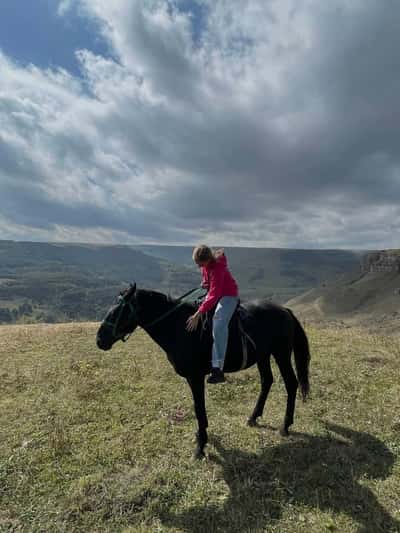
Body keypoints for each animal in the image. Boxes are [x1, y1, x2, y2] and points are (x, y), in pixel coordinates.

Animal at [96, 282, 310, 458]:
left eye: (120, 310)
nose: (100, 339)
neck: (179, 328)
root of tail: (285, 310)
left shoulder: (195, 377)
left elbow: (199, 409)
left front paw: (200, 446)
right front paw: (202, 437)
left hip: (281, 354)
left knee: (291, 383)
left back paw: (285, 425)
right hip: (263, 356)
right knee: (267, 381)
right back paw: (253, 417)